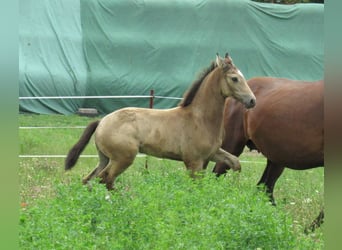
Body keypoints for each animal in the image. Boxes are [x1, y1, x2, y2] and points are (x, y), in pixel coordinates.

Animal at [65, 52, 255, 189]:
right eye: (234, 78)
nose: (252, 101)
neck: (200, 118)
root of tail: (102, 121)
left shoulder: (212, 153)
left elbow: (236, 163)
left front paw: (235, 189)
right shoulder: (193, 161)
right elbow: (196, 187)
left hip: (105, 158)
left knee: (89, 179)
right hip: (123, 158)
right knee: (106, 179)